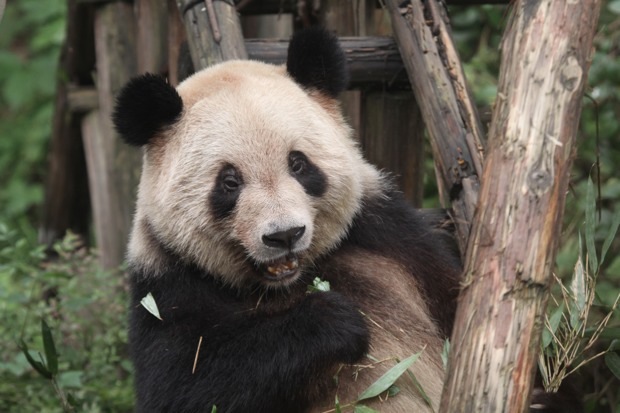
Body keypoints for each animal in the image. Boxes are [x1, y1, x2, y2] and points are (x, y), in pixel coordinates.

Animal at [111, 28, 462, 412]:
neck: (289, 282)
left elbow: (451, 295)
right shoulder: (167, 282)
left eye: (298, 163)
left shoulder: (389, 233)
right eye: (229, 182)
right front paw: (333, 321)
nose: (285, 235)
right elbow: (182, 383)